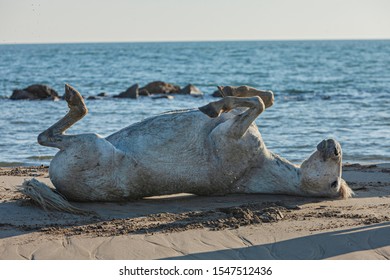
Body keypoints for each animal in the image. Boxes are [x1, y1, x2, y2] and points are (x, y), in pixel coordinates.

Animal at [36, 84, 352, 202]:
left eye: (334, 182)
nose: (334, 145)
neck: (255, 167)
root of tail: (59, 184)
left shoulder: (229, 134)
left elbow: (258, 103)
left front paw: (213, 105)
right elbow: (267, 98)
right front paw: (226, 94)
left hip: (90, 144)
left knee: (47, 136)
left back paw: (75, 99)